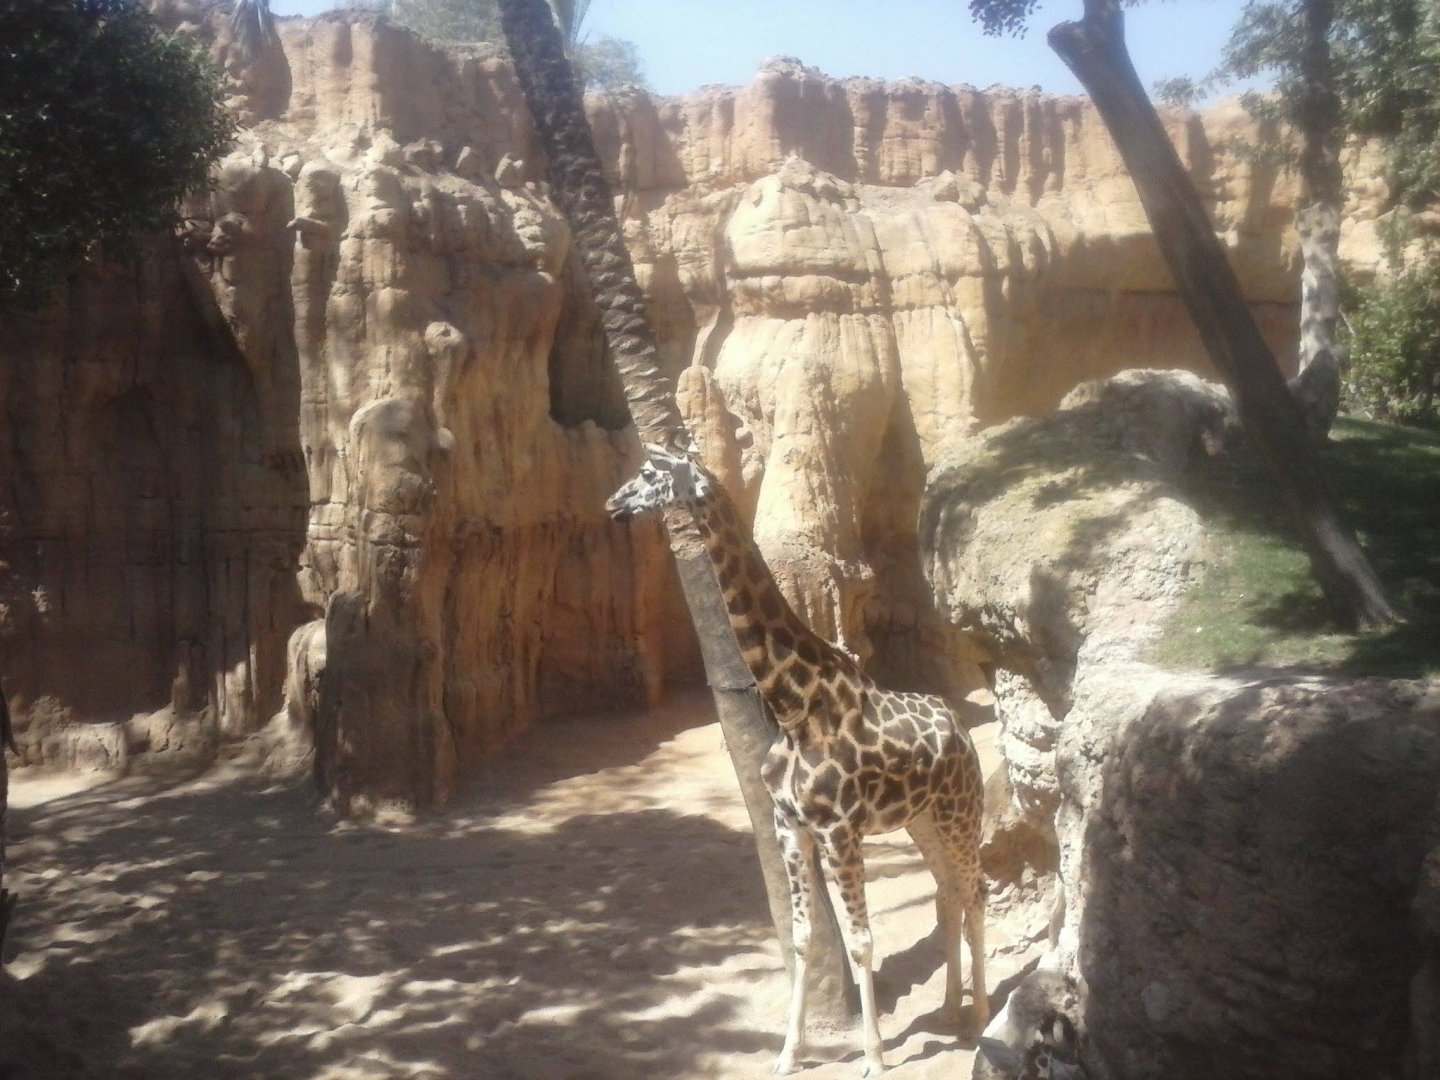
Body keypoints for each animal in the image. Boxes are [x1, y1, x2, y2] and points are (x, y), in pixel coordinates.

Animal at [607, 445, 987, 1076]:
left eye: (650, 473)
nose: (612, 502)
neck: (793, 704)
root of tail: (962, 731)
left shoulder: (839, 831)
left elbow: (861, 940)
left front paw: (874, 1056)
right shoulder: (790, 825)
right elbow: (803, 936)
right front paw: (789, 1053)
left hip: (961, 812)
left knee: (975, 890)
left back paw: (980, 1016)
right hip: (922, 820)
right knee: (948, 893)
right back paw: (952, 1009)